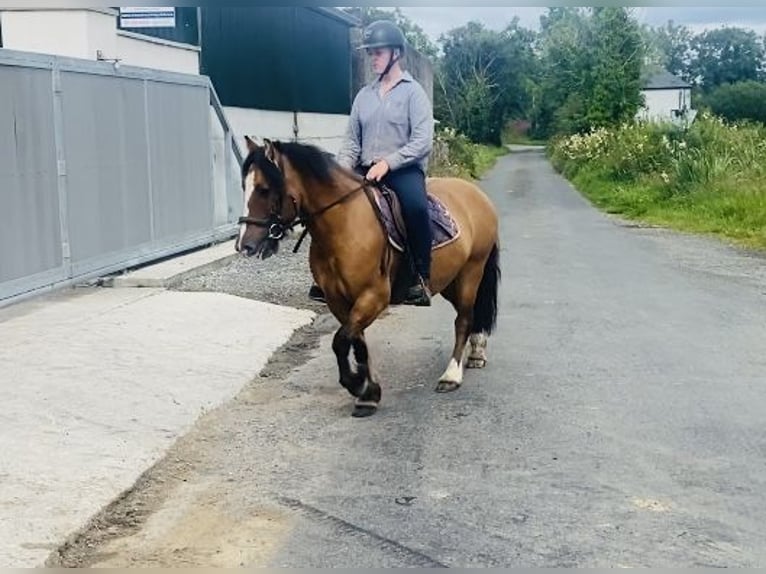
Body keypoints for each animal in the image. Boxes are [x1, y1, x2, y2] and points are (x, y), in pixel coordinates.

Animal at [237, 137, 500, 420]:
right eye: (244, 186)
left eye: (264, 189)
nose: (244, 245)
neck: (343, 225)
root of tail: (476, 195)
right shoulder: (339, 301)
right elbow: (357, 342)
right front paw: (368, 393)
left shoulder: (373, 297)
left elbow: (341, 341)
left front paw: (356, 384)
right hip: (451, 281)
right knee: (471, 313)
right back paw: (476, 353)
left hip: (471, 272)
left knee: (463, 319)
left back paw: (451, 375)